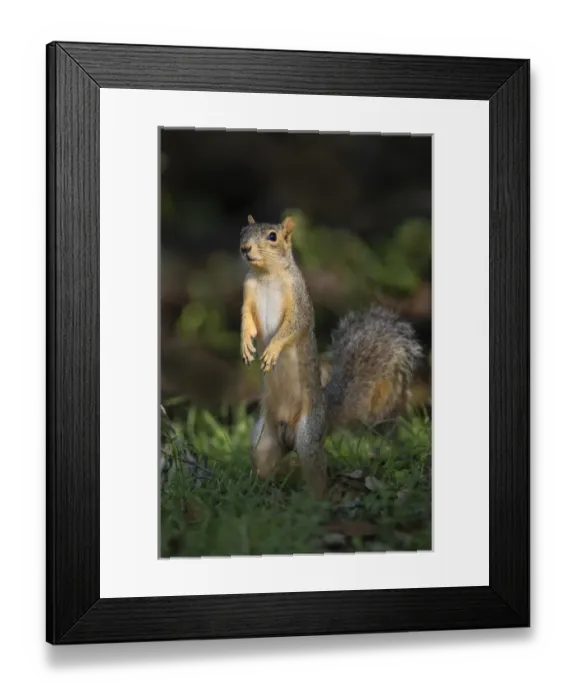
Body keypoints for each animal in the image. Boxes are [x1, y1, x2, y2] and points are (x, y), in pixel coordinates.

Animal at [239, 214, 423, 499]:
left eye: (272, 236)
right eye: (243, 231)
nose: (245, 248)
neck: (266, 277)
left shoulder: (299, 300)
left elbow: (291, 327)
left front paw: (271, 351)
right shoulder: (248, 292)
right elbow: (247, 321)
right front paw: (245, 345)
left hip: (308, 434)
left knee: (316, 470)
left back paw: (317, 501)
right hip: (264, 439)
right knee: (264, 461)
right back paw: (257, 490)